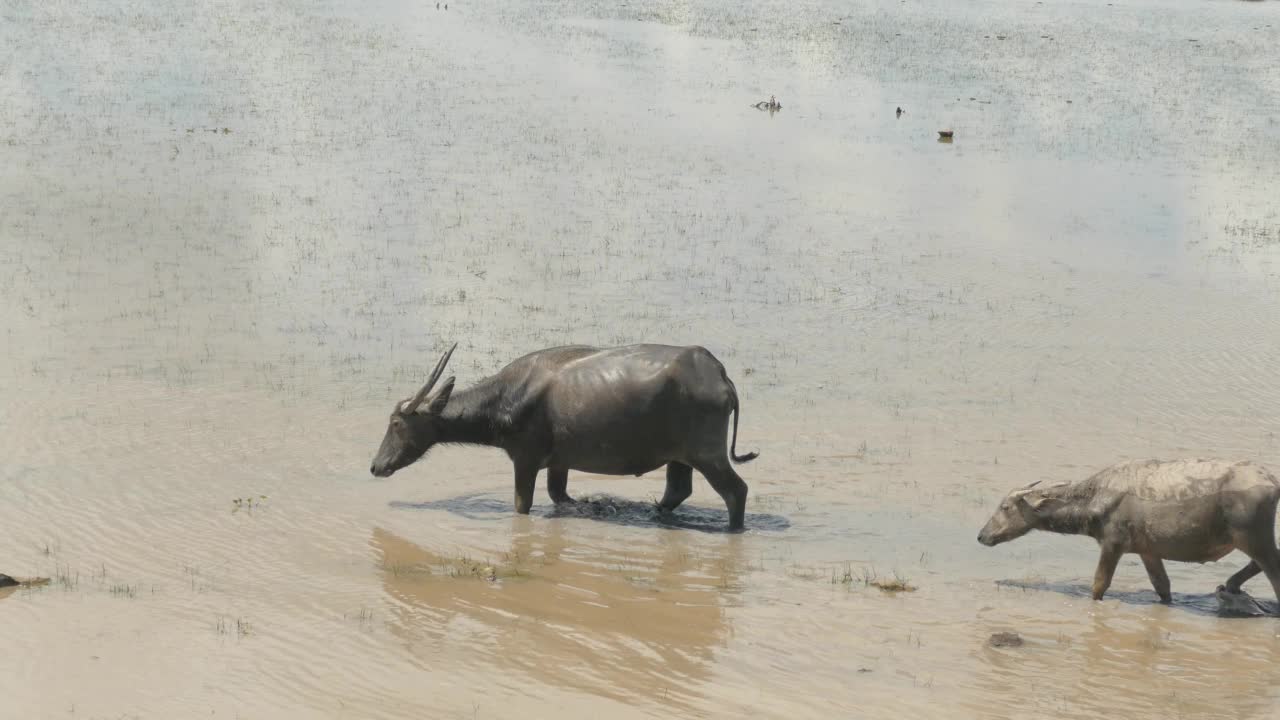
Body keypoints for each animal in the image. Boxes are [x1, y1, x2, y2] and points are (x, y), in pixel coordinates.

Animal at [368, 340, 757, 527]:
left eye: (396, 424)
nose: (376, 466)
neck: (505, 399)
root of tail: (720, 376)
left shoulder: (524, 460)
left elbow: (522, 505)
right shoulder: (560, 461)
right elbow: (560, 496)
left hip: (707, 454)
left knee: (736, 491)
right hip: (680, 457)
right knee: (677, 491)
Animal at [977, 456, 1280, 607]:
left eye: (1005, 507)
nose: (981, 535)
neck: (1096, 499)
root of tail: (1272, 482)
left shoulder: (1113, 544)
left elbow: (1100, 584)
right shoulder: (1148, 550)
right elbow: (1162, 586)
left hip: (1253, 536)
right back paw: (1230, 586)